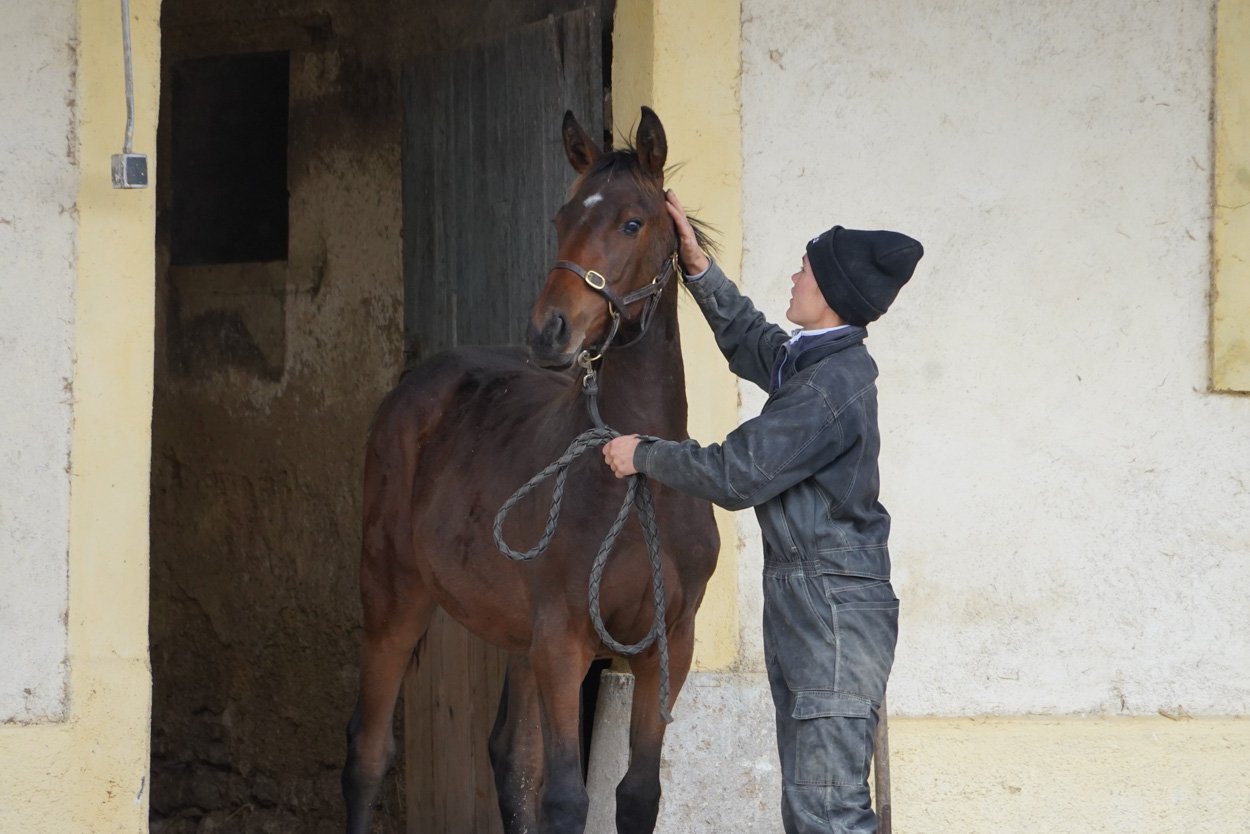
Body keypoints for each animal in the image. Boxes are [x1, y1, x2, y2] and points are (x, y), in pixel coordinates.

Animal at [342, 106, 720, 834]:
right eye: (562, 215)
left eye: (633, 222)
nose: (550, 330)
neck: (638, 483)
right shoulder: (562, 641)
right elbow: (566, 798)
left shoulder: (668, 646)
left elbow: (636, 794)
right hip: (393, 598)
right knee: (368, 753)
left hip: (516, 635)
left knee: (510, 758)